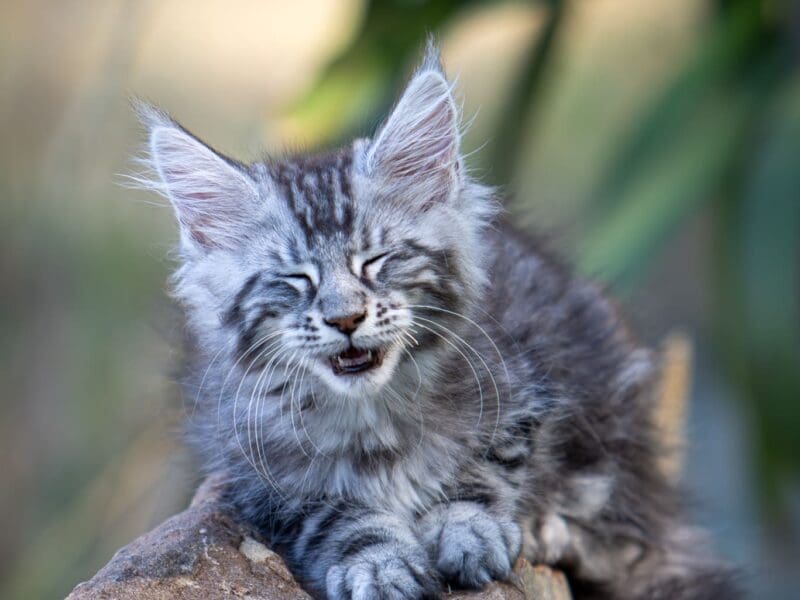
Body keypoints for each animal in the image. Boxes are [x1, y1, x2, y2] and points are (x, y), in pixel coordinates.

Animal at [131, 44, 736, 596]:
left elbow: (482, 472)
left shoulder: (525, 389)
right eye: (297, 279)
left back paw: (551, 528)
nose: (346, 318)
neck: (373, 418)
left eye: (375, 261)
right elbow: (338, 516)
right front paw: (380, 563)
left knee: (623, 533)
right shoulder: (258, 473)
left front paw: (470, 532)